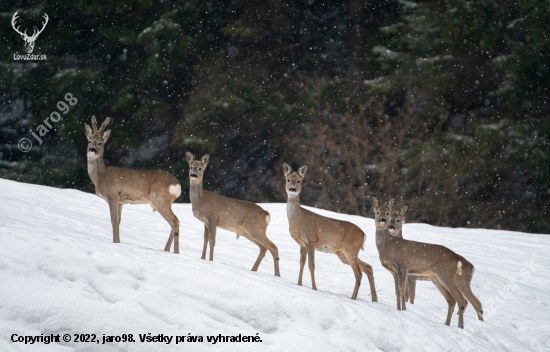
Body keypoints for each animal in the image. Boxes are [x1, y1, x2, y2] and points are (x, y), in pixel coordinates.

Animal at [84, 118, 182, 253]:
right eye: (89, 141)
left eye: (100, 143)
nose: (92, 150)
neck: (101, 176)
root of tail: (177, 184)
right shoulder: (121, 201)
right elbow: (118, 221)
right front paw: (118, 242)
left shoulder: (113, 195)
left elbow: (113, 220)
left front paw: (114, 243)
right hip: (166, 202)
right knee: (175, 221)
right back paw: (166, 250)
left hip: (160, 200)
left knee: (175, 221)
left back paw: (176, 252)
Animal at [284, 164, 380, 302]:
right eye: (287, 179)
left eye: (299, 181)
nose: (292, 189)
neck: (298, 219)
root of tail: (364, 235)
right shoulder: (302, 243)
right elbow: (302, 263)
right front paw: (299, 284)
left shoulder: (311, 239)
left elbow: (311, 265)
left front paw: (314, 288)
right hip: (342, 253)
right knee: (368, 267)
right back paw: (374, 299)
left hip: (350, 249)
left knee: (358, 273)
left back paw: (353, 298)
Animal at [374, 197, 486, 328]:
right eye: (377, 212)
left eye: (389, 214)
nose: (385, 222)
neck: (389, 246)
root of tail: (458, 260)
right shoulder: (394, 271)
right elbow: (397, 290)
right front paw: (398, 309)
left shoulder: (403, 267)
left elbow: (404, 291)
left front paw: (404, 310)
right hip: (438, 279)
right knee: (454, 300)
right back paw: (448, 324)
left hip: (449, 277)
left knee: (463, 300)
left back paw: (460, 326)